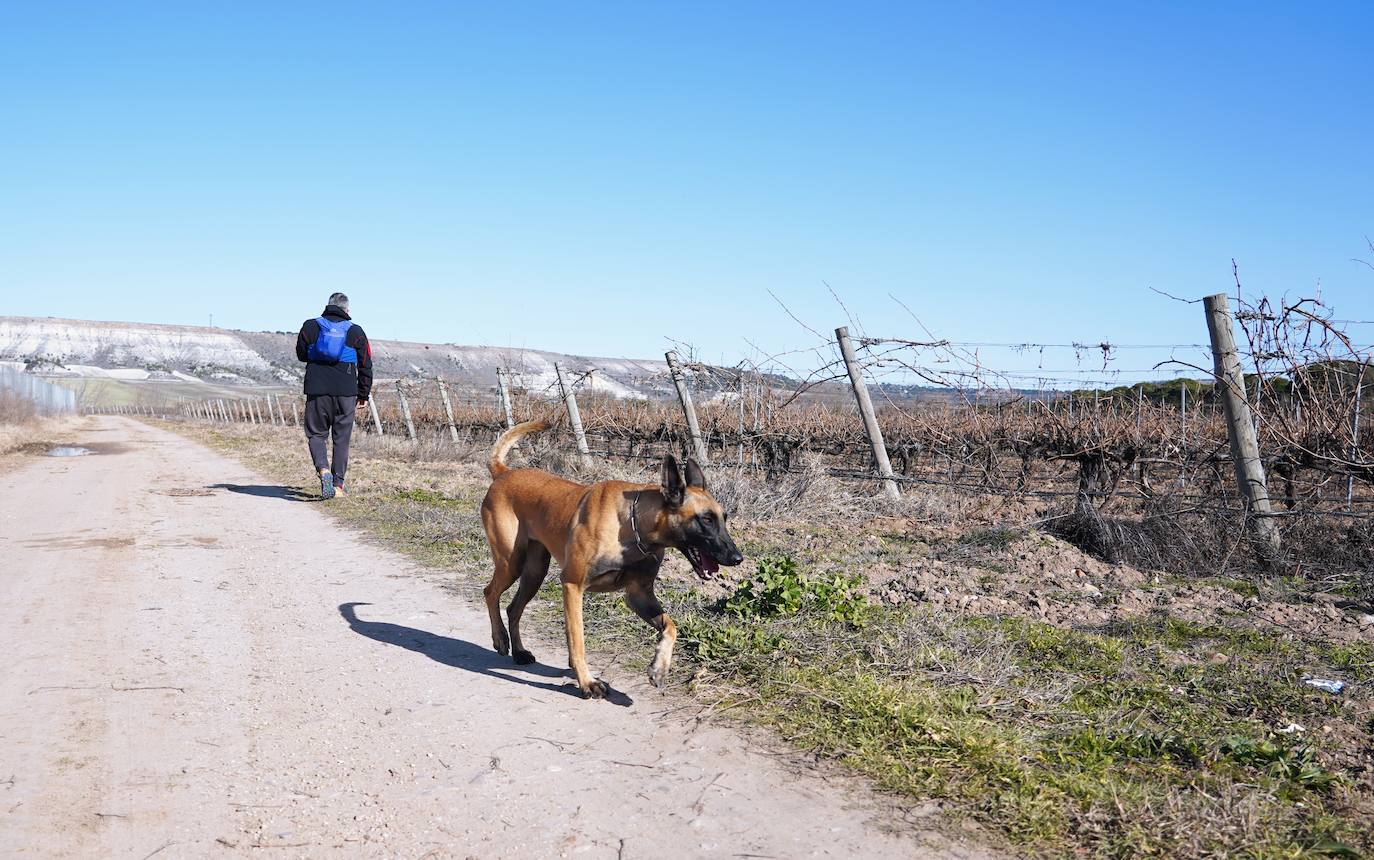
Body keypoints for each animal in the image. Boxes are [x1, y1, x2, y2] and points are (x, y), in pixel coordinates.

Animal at [480, 420, 741, 697]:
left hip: (534, 572)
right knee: (490, 593)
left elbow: (671, 626)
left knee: (513, 608)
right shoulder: (573, 586)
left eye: (724, 517)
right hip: (511, 563)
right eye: (706, 519)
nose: (737, 558)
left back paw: (518, 651)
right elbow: (578, 640)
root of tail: (504, 473)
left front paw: (659, 668)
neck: (633, 526)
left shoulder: (639, 595)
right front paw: (587, 681)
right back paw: (500, 638)